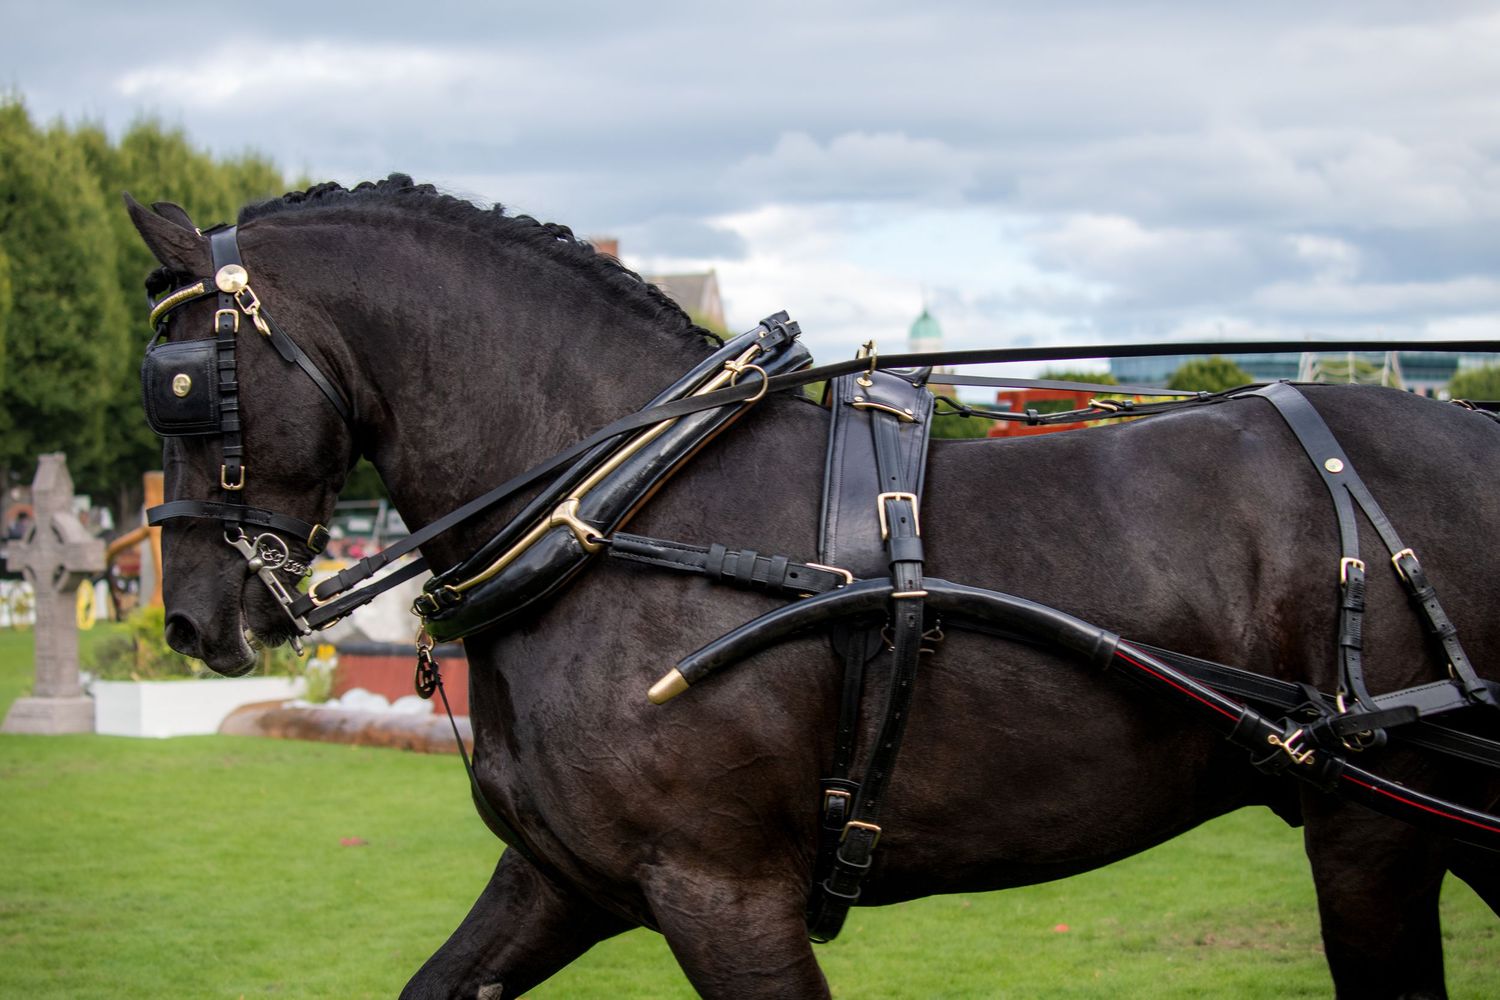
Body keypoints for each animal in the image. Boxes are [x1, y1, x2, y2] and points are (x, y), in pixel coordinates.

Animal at [126, 175, 1499, 999]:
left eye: (184, 382)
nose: (189, 616)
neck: (622, 508)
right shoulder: (566, 878)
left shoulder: (722, 890)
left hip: (1374, 830)